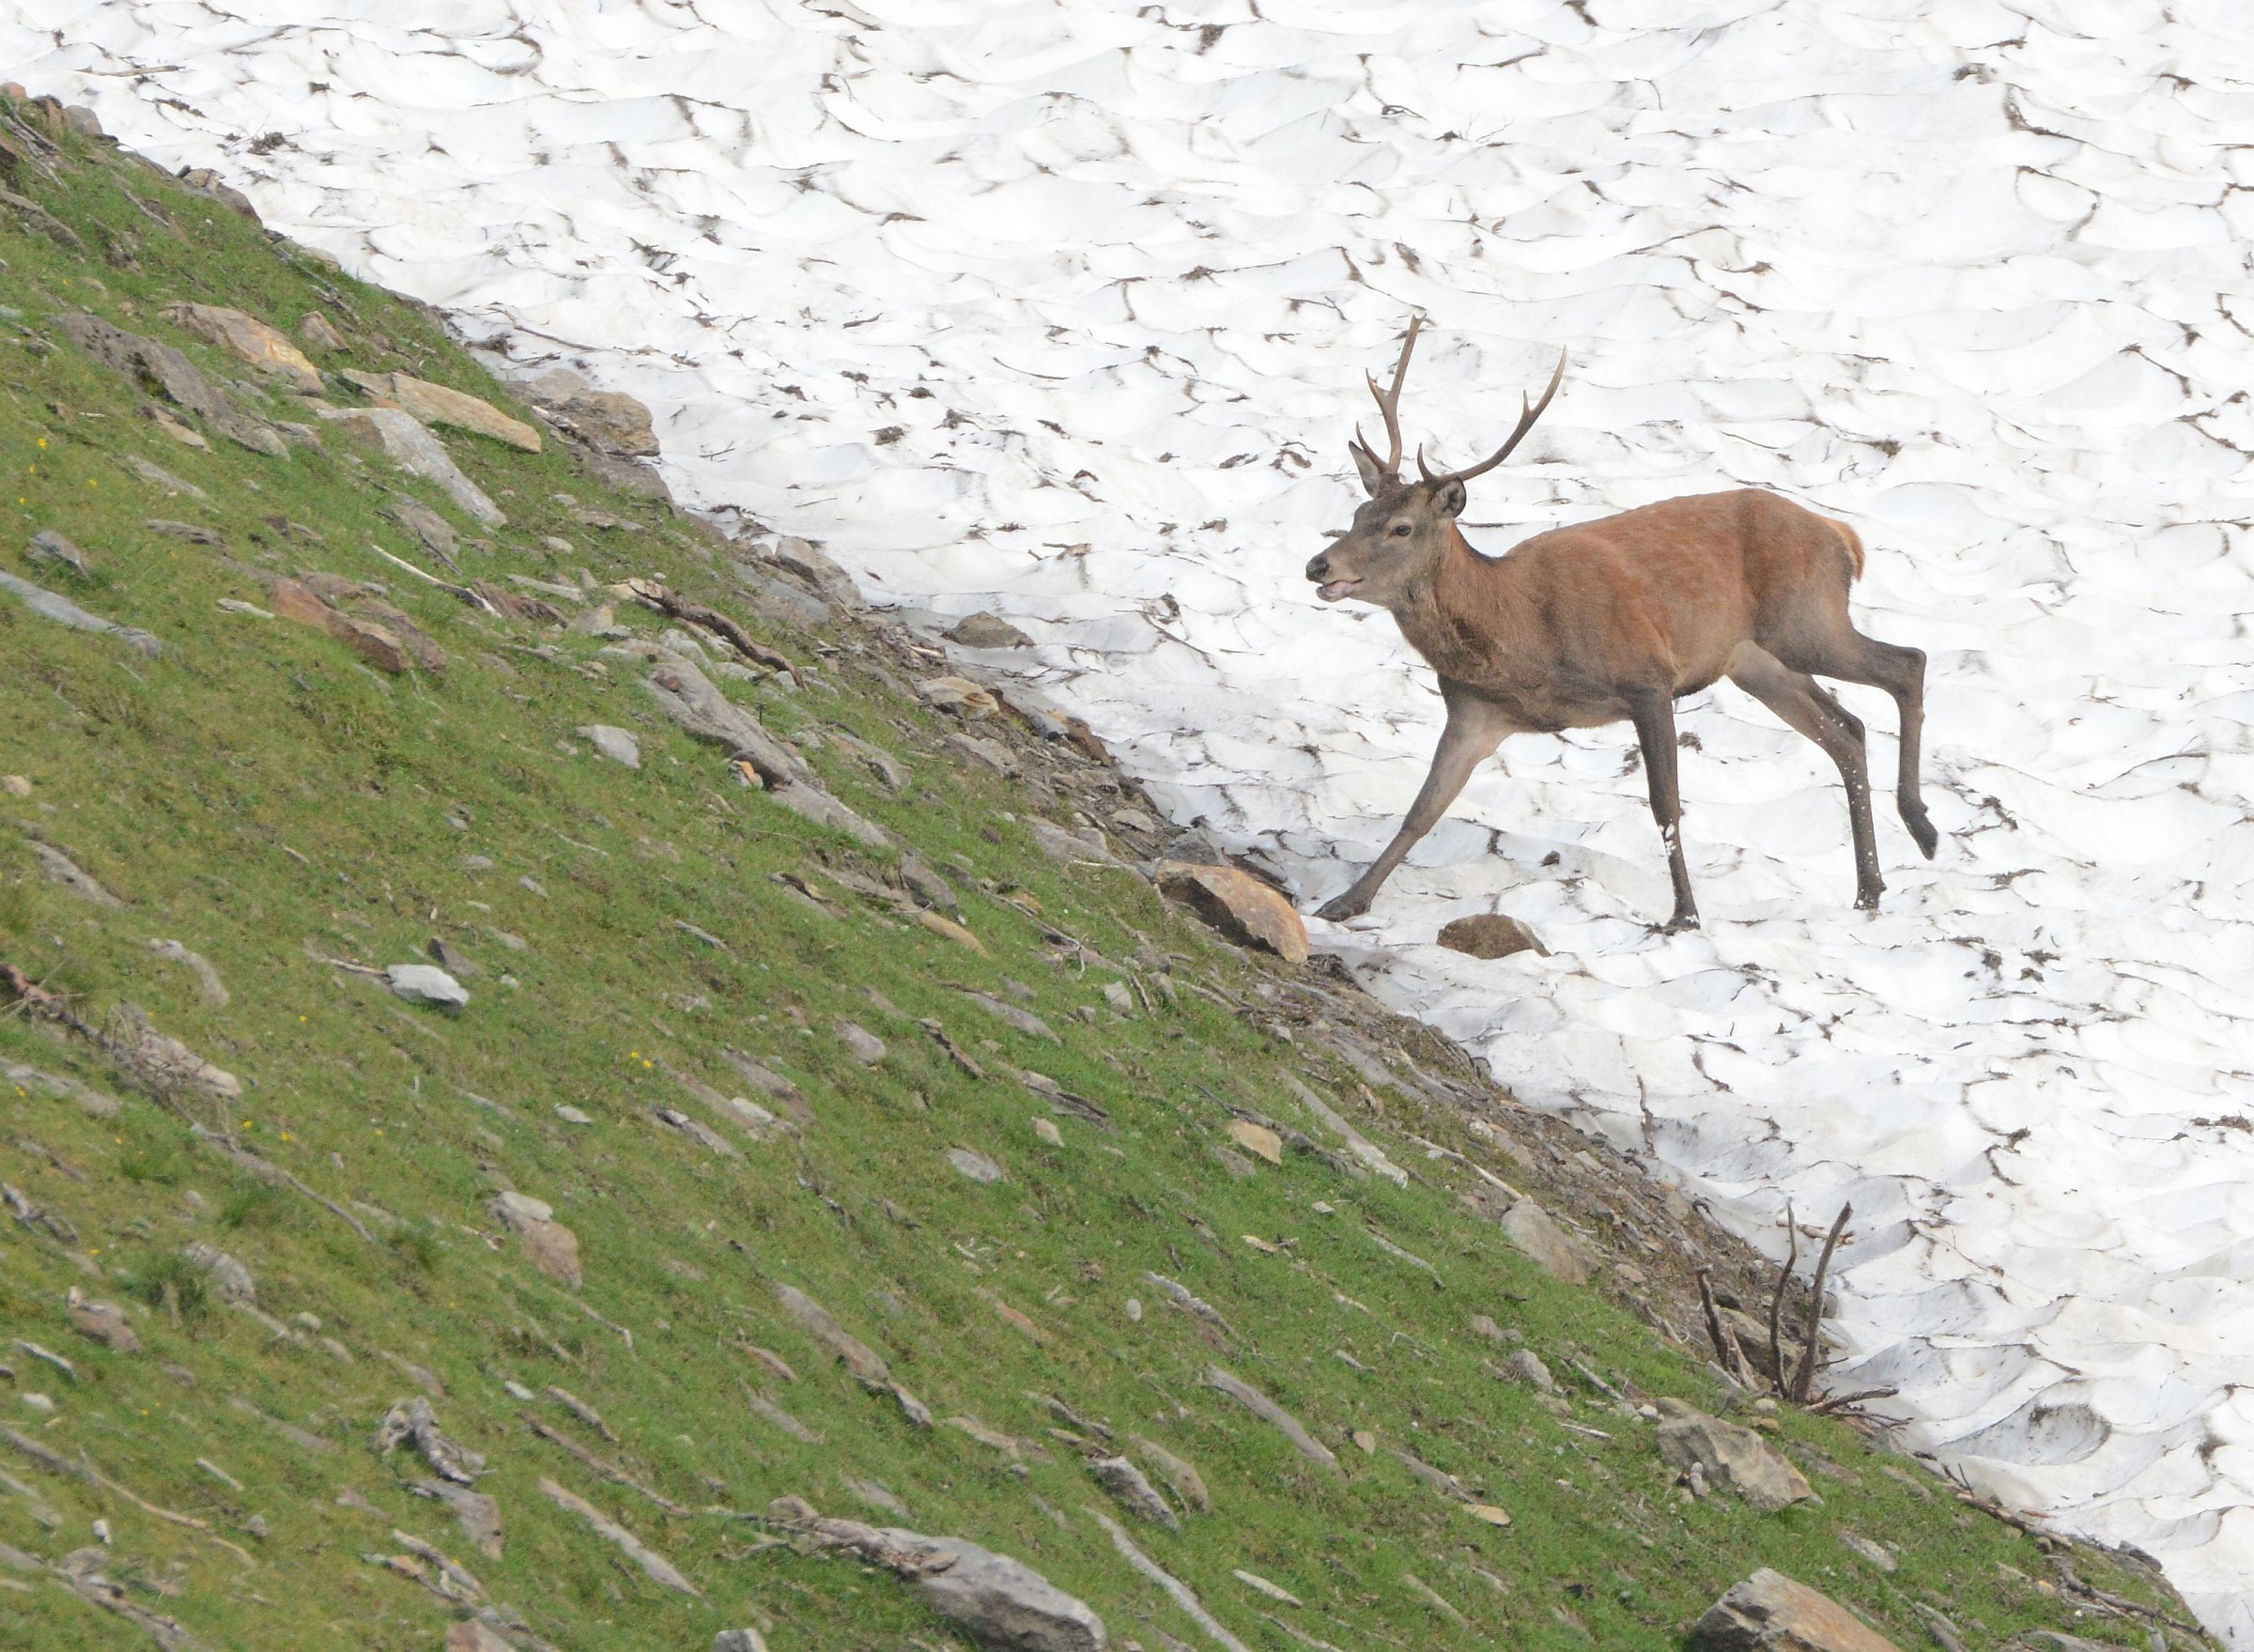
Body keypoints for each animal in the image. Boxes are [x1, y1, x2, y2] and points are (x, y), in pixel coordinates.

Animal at [1302, 318, 1935, 932]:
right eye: (1359, 512)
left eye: (1402, 528)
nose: (1318, 564)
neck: (1522, 638)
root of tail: (1844, 537)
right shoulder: (1473, 713)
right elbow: (1421, 811)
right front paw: (1345, 902)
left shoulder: (1647, 677)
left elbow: (1665, 804)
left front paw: (1684, 914)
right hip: (1756, 662)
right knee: (1848, 731)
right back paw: (1870, 888)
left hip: (1804, 622)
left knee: (1908, 662)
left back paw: (1921, 828)